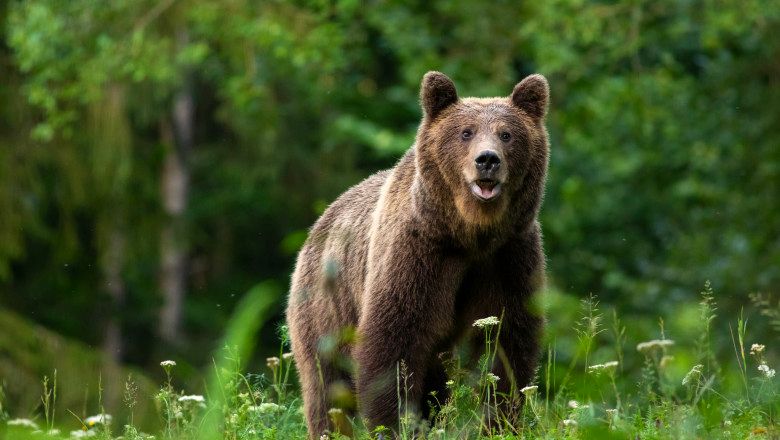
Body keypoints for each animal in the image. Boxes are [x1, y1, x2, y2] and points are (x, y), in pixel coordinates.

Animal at [286, 72, 548, 436]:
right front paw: (395, 424)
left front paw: (499, 422)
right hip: (326, 306)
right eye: (466, 132)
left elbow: (508, 342)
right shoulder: (418, 254)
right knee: (327, 384)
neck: (469, 233)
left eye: (506, 134)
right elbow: (395, 341)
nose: (487, 160)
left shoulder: (509, 256)